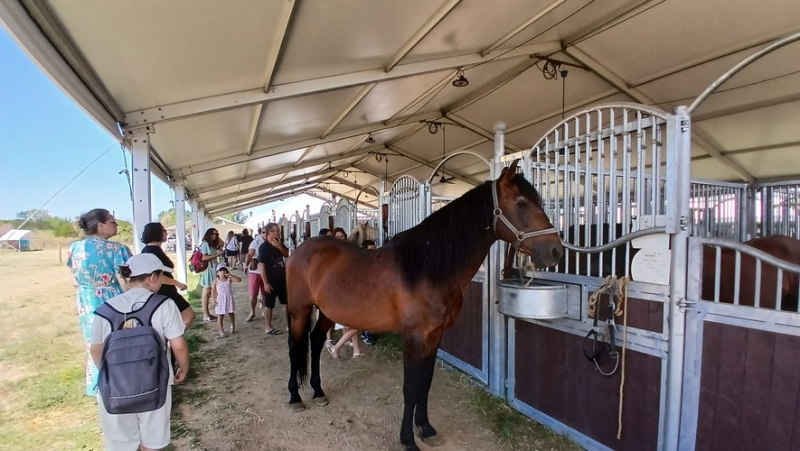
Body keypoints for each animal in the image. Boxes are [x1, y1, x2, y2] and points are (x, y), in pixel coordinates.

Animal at [284, 160, 560, 451]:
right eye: (521, 203)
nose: (556, 251)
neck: (426, 268)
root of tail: (302, 249)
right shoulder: (414, 338)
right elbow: (410, 387)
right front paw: (408, 439)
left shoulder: (434, 336)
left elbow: (424, 384)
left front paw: (426, 429)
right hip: (300, 310)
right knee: (295, 346)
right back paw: (295, 397)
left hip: (327, 311)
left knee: (315, 341)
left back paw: (318, 391)